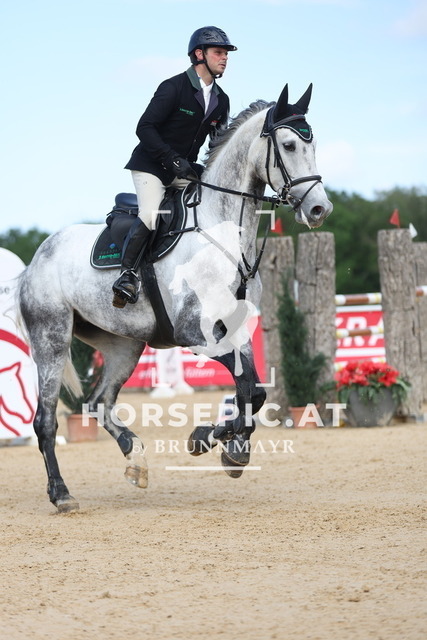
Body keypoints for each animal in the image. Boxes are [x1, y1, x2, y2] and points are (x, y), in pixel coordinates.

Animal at [17, 83, 333, 512]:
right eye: (288, 145)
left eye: (313, 143)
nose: (319, 209)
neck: (223, 231)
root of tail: (38, 257)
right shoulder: (193, 332)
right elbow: (249, 389)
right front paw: (214, 439)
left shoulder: (235, 328)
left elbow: (252, 390)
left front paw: (226, 446)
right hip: (52, 337)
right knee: (45, 418)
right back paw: (62, 493)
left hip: (123, 346)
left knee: (99, 402)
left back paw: (135, 458)